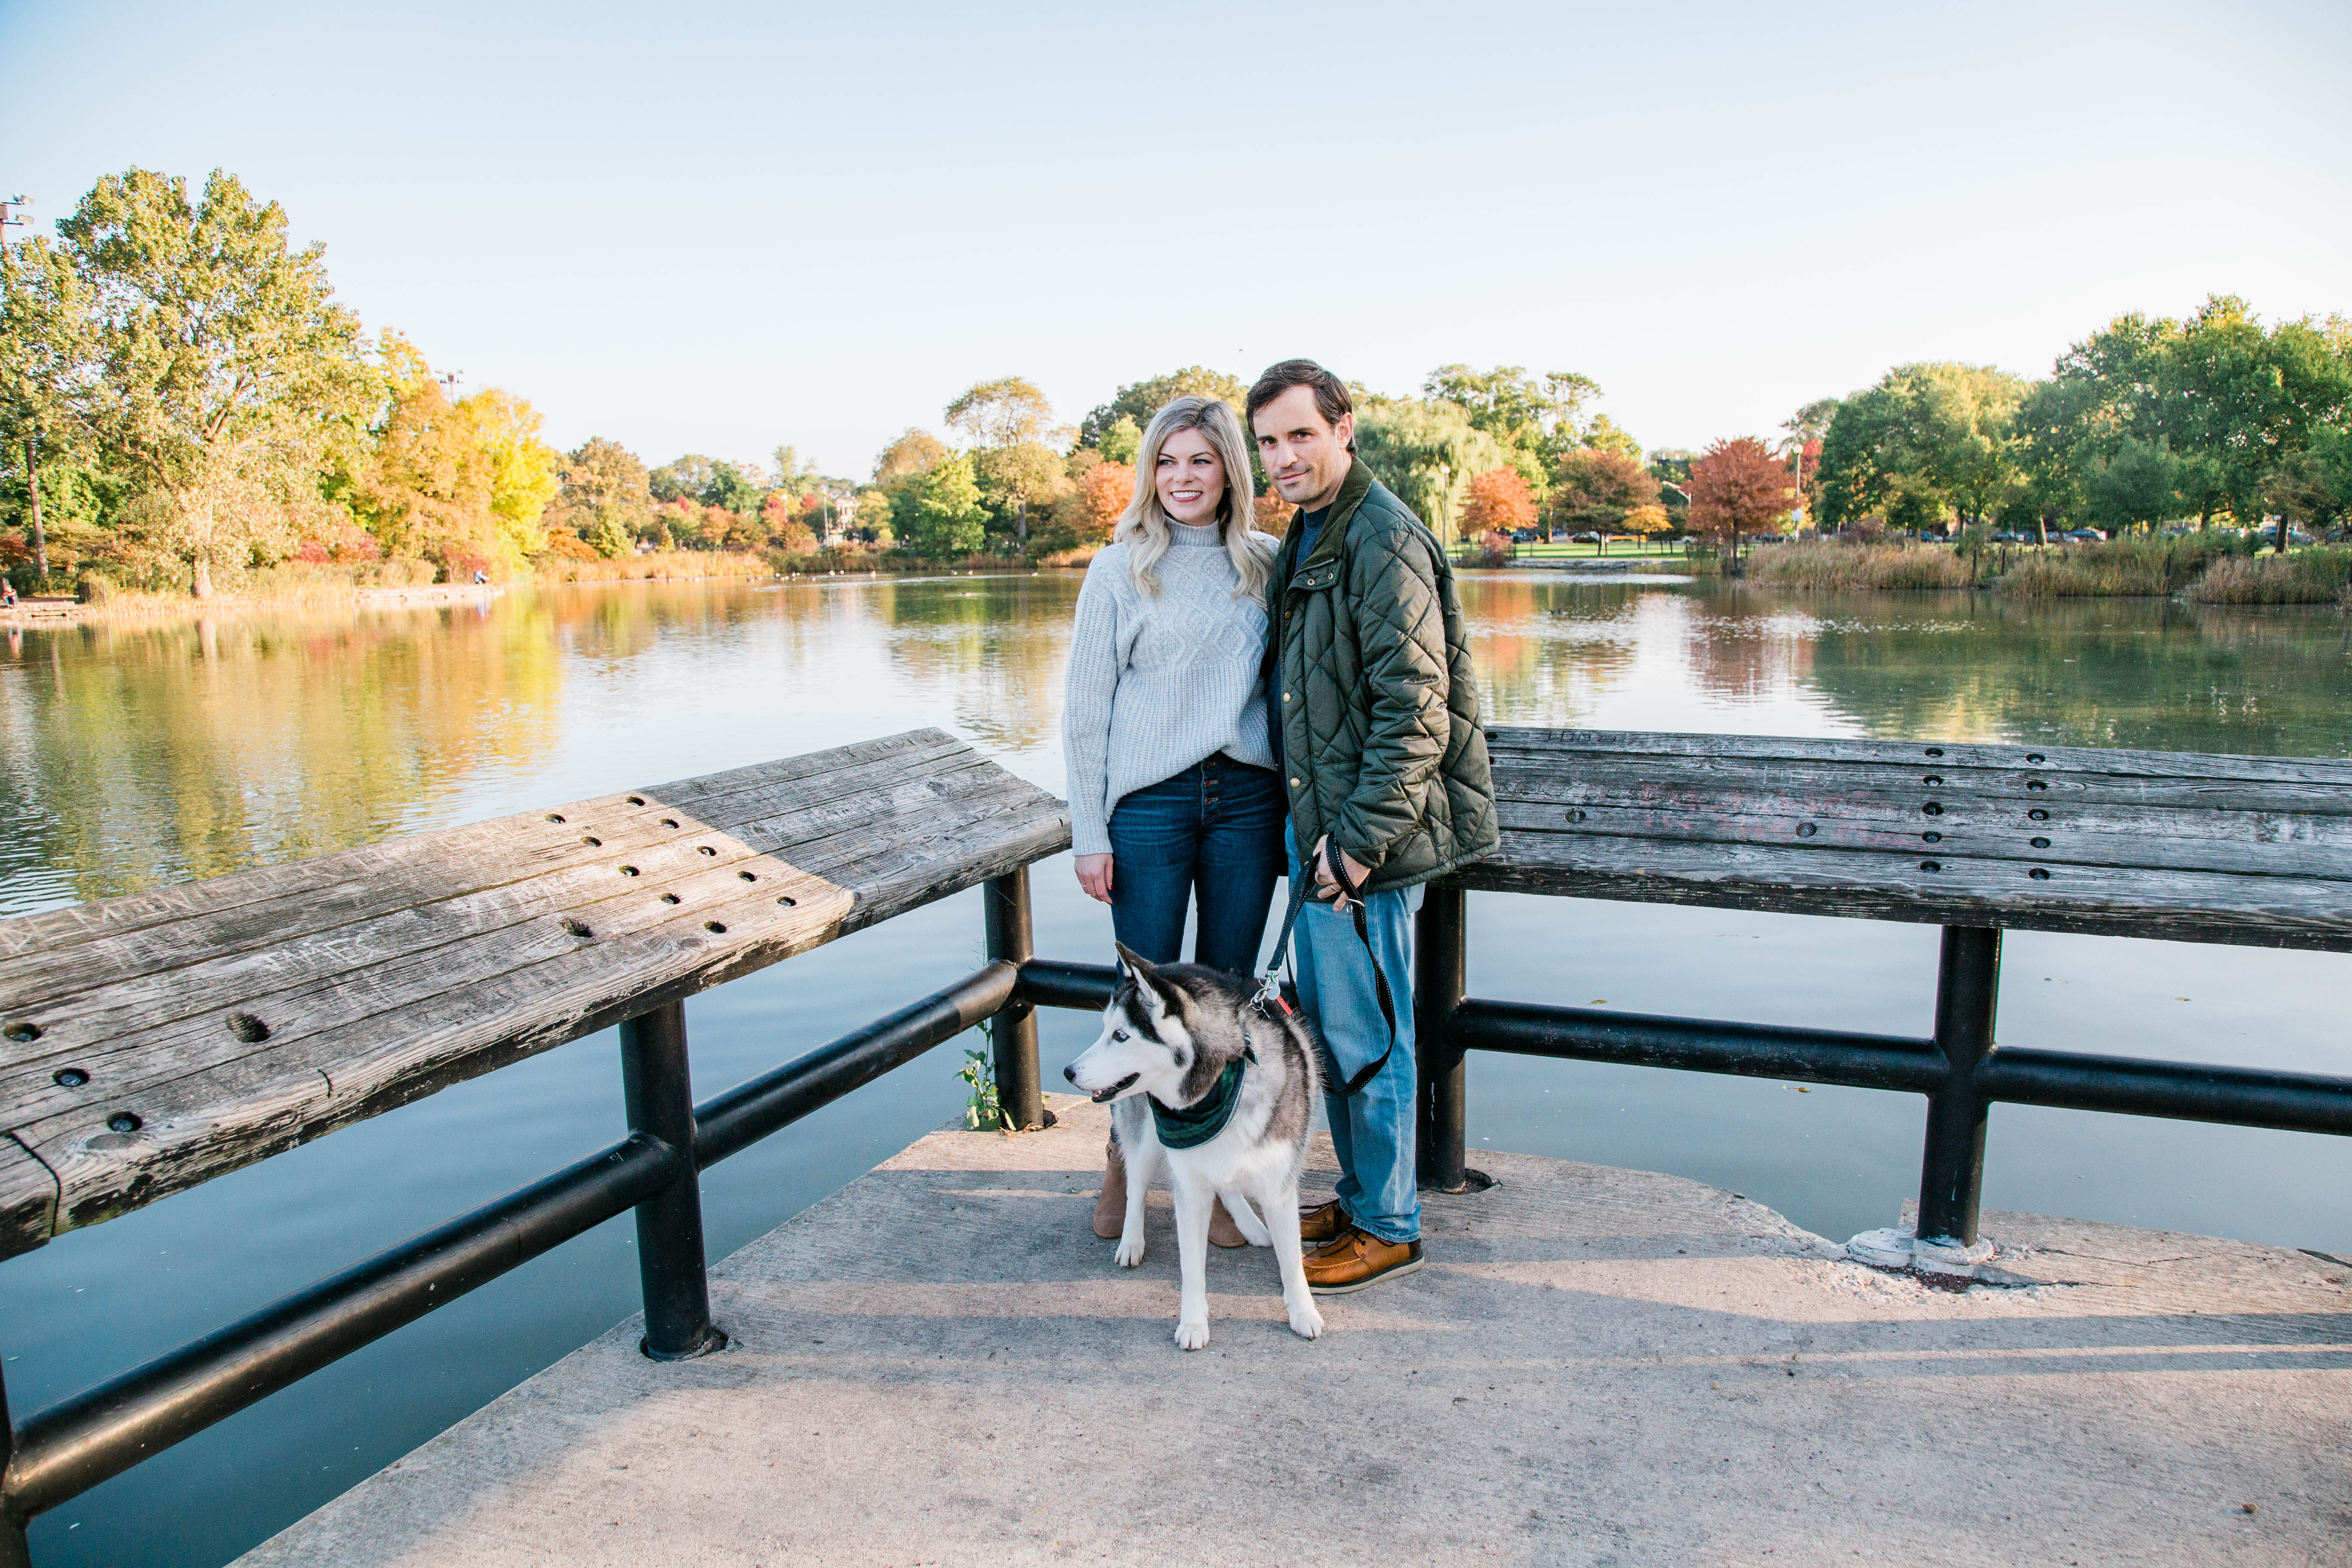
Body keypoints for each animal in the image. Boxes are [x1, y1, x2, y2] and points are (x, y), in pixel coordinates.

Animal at [1068, 945, 1326, 1354]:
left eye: (1121, 1035)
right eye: (1106, 1029)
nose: (1068, 1072)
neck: (1219, 1086)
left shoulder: (1280, 1188)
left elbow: (1292, 1263)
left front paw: (1303, 1313)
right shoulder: (1189, 1189)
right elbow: (1191, 1268)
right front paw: (1192, 1323)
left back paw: (1253, 1226)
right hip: (1146, 1140)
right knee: (1136, 1185)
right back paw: (1131, 1241)